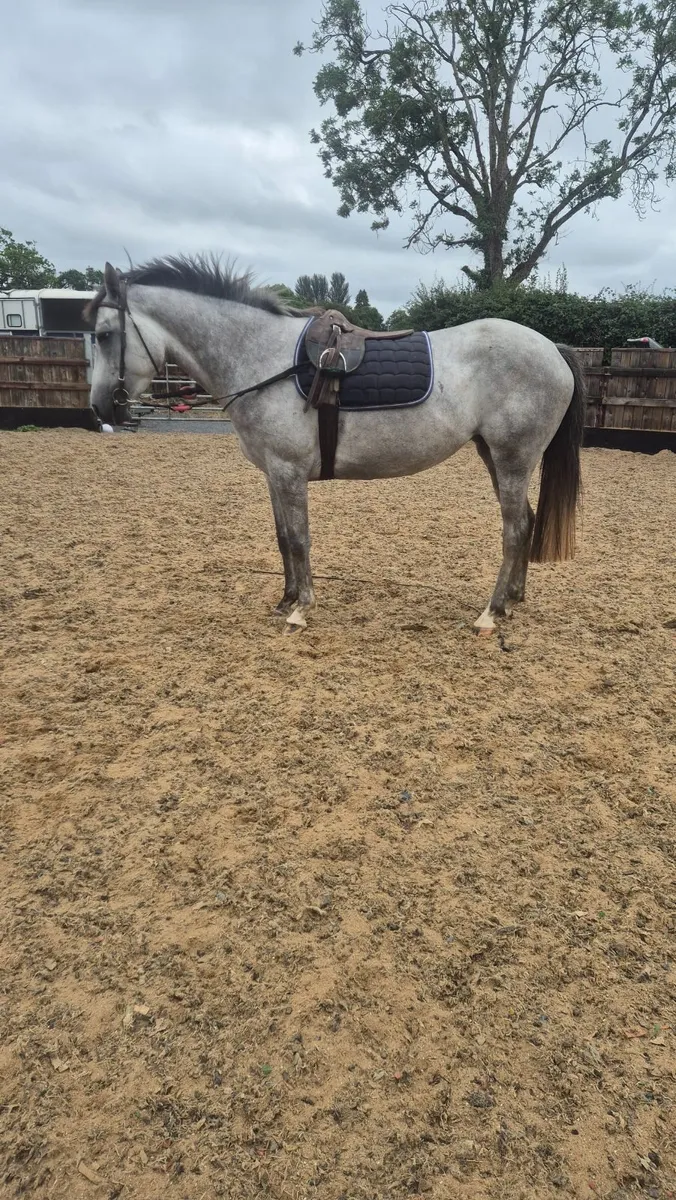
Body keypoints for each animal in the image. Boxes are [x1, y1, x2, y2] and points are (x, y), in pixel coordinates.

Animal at [85, 255, 585, 634]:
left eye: (105, 335)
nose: (100, 409)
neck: (261, 357)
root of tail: (552, 349)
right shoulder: (274, 473)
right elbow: (283, 538)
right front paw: (286, 600)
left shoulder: (289, 471)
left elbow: (300, 539)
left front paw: (302, 609)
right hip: (494, 455)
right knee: (526, 522)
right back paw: (514, 599)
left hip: (513, 457)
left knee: (515, 530)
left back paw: (491, 613)